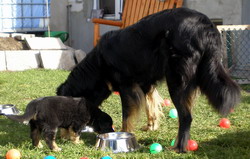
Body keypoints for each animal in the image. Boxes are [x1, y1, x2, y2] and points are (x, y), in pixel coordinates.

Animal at [56, 7, 240, 153]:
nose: (61, 137)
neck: (98, 64)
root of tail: (206, 25)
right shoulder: (146, 83)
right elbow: (150, 105)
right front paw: (151, 126)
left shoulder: (126, 86)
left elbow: (127, 116)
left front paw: (123, 134)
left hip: (176, 80)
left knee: (186, 116)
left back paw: (179, 147)